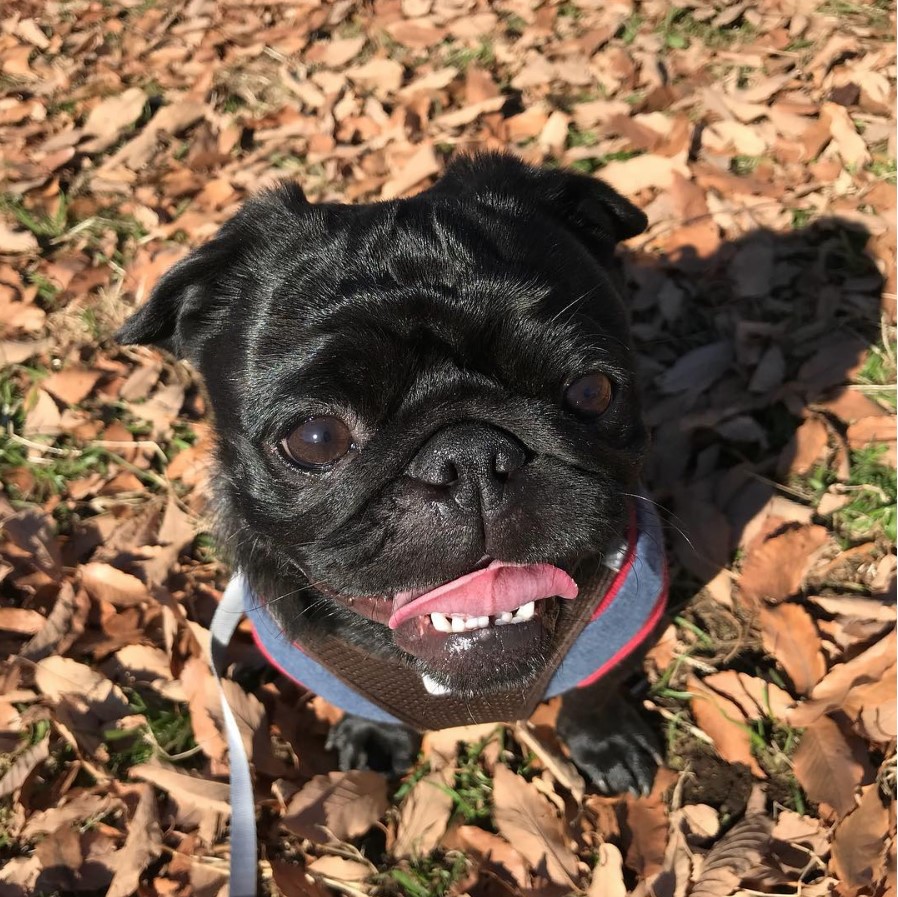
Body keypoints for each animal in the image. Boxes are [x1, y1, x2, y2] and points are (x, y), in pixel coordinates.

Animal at [117, 152, 664, 792]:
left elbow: (591, 691)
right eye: (316, 439)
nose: (470, 455)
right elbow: (366, 707)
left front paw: (606, 741)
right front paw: (374, 738)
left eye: (591, 391)